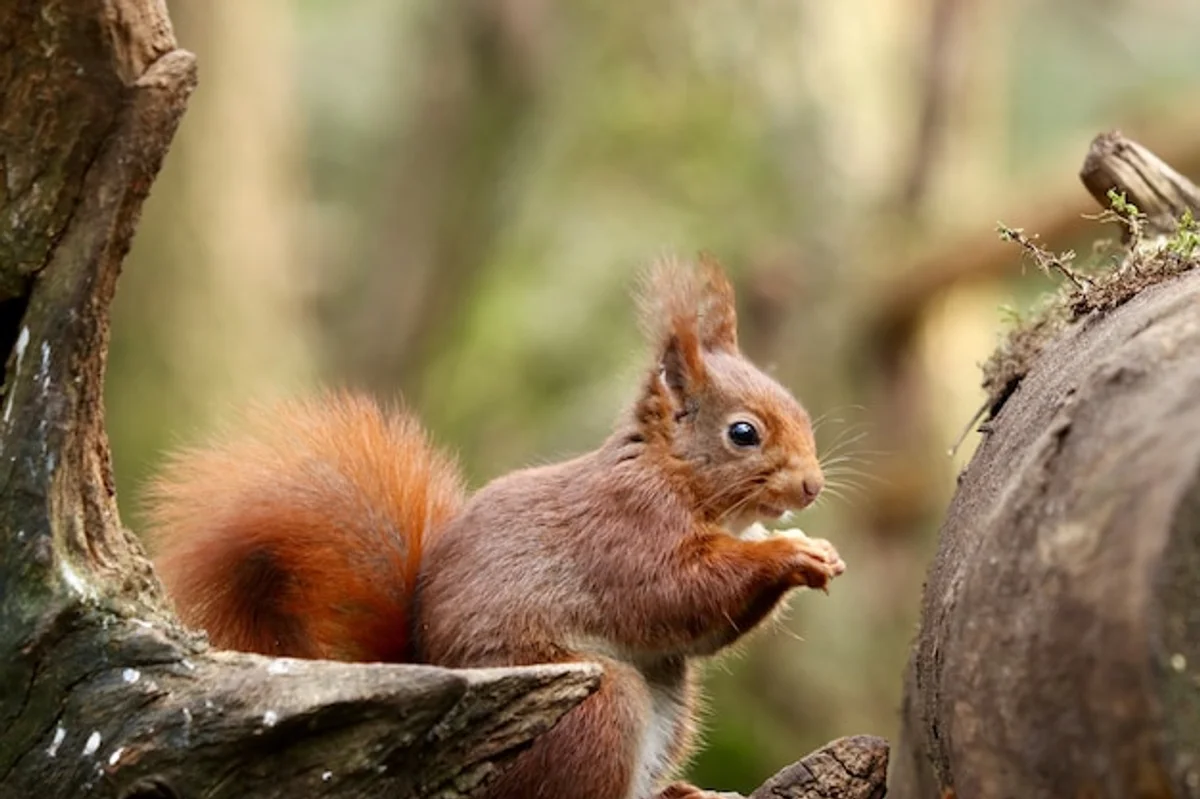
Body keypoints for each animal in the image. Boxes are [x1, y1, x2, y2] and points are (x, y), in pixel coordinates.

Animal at [146, 254, 845, 799]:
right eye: (743, 433)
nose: (811, 487)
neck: (671, 476)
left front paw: (811, 549)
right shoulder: (623, 533)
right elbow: (676, 592)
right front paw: (791, 556)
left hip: (667, 701)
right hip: (596, 706)